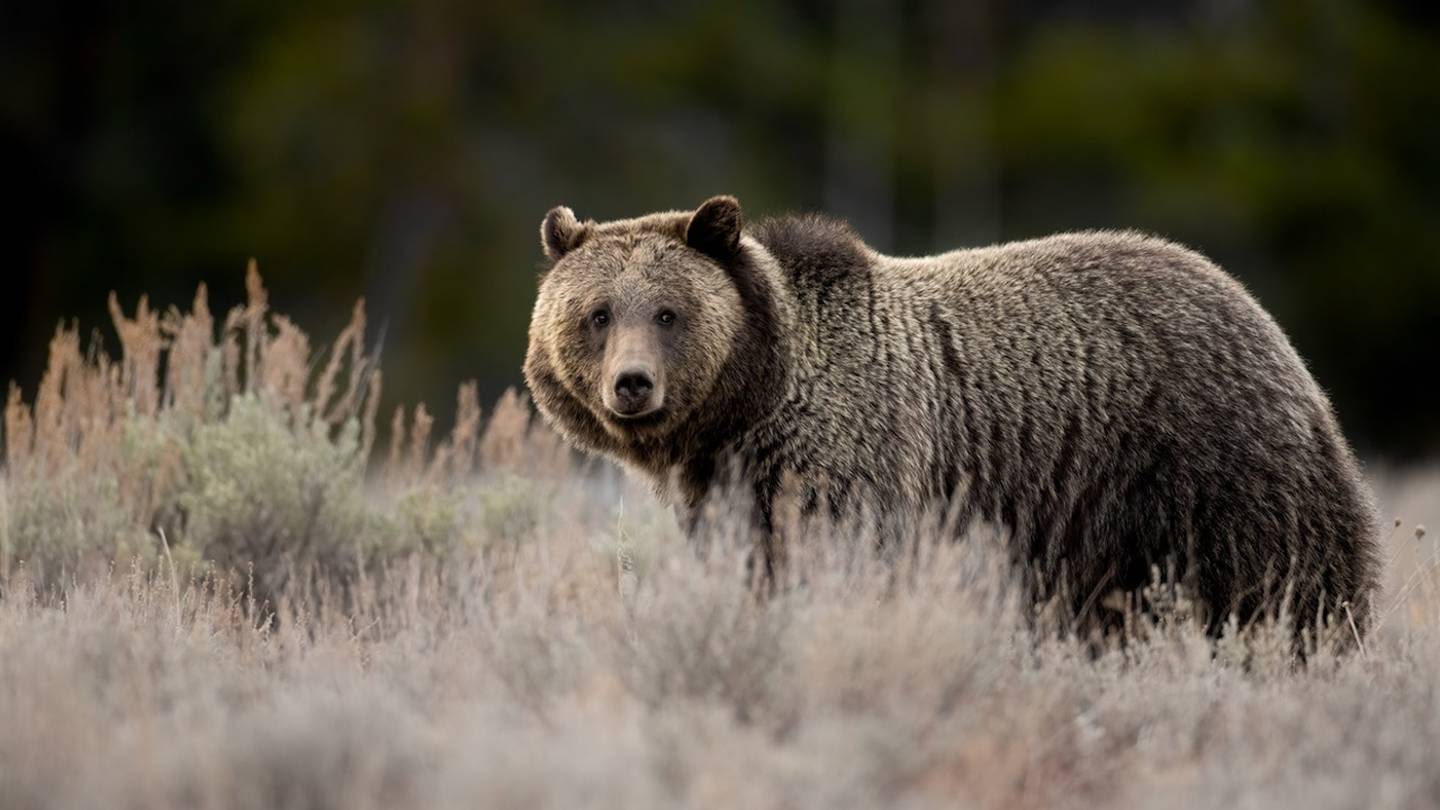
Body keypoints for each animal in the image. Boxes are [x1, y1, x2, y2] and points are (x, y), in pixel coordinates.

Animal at [524, 196, 1376, 637]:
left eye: (668, 312)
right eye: (598, 313)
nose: (632, 385)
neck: (752, 403)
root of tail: (1264, 320)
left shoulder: (844, 455)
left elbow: (835, 555)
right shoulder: (724, 487)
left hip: (1204, 464)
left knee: (1279, 580)